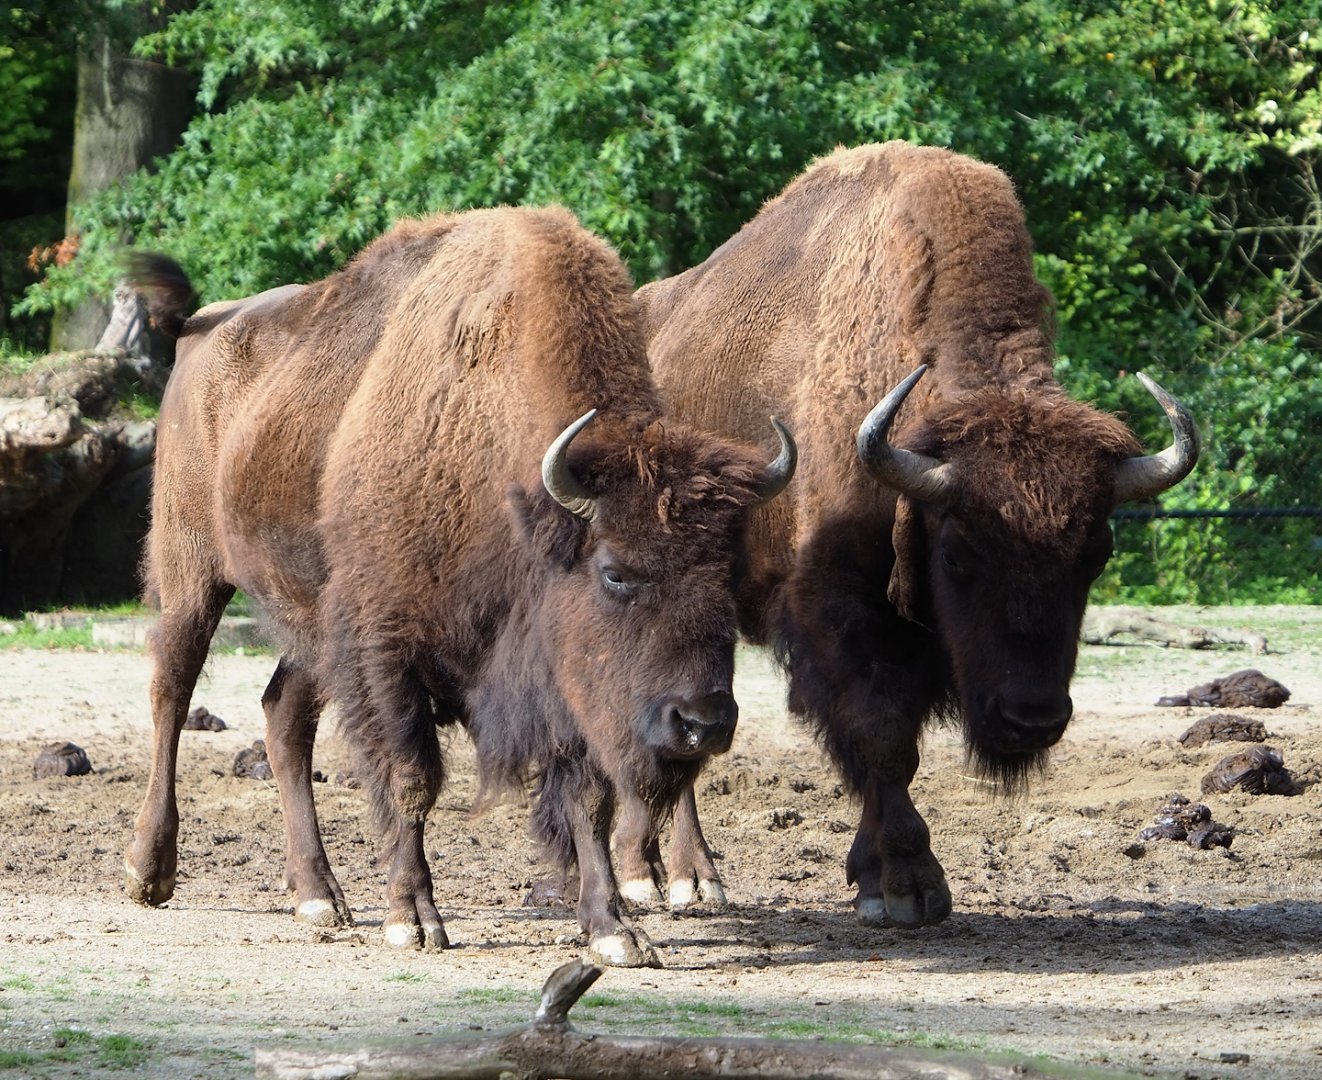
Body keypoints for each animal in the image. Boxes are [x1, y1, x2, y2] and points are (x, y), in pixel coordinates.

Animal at [123, 205, 795, 966]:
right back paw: (149, 872)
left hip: (313, 627)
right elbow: (413, 780)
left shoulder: (560, 684)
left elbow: (586, 797)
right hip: (192, 574)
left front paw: (614, 931)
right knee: (172, 691)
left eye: (726, 575)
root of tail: (203, 329)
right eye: (615, 572)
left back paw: (318, 897)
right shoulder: (388, 653)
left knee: (283, 715)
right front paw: (414, 920)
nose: (703, 722)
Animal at [626, 141, 1198, 925]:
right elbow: (882, 735)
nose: (1031, 718)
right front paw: (906, 885)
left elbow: (895, 746)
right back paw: (680, 878)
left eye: (1097, 555)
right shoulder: (839, 612)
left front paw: (878, 875)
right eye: (957, 554)